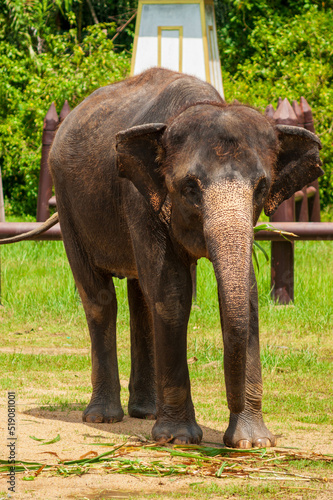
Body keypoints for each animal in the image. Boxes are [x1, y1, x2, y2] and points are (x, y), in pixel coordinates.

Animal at [2, 67, 320, 450]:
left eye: (261, 187)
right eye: (190, 188)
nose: (228, 428)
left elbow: (248, 298)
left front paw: (252, 443)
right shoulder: (140, 197)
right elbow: (172, 293)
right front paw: (179, 439)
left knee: (141, 296)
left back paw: (145, 412)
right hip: (68, 206)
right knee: (101, 299)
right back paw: (104, 417)